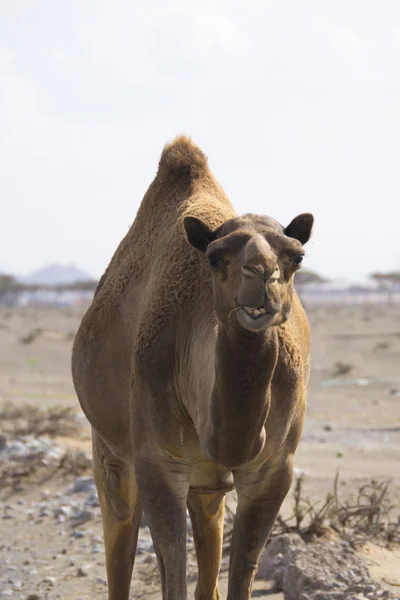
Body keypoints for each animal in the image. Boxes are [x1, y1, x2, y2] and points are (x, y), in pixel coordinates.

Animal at [72, 137, 316, 600]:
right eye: (215, 257)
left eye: (296, 256)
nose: (262, 274)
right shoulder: (158, 461)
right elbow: (172, 571)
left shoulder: (274, 468)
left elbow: (242, 574)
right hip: (111, 446)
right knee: (120, 520)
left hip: (206, 477)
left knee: (207, 519)